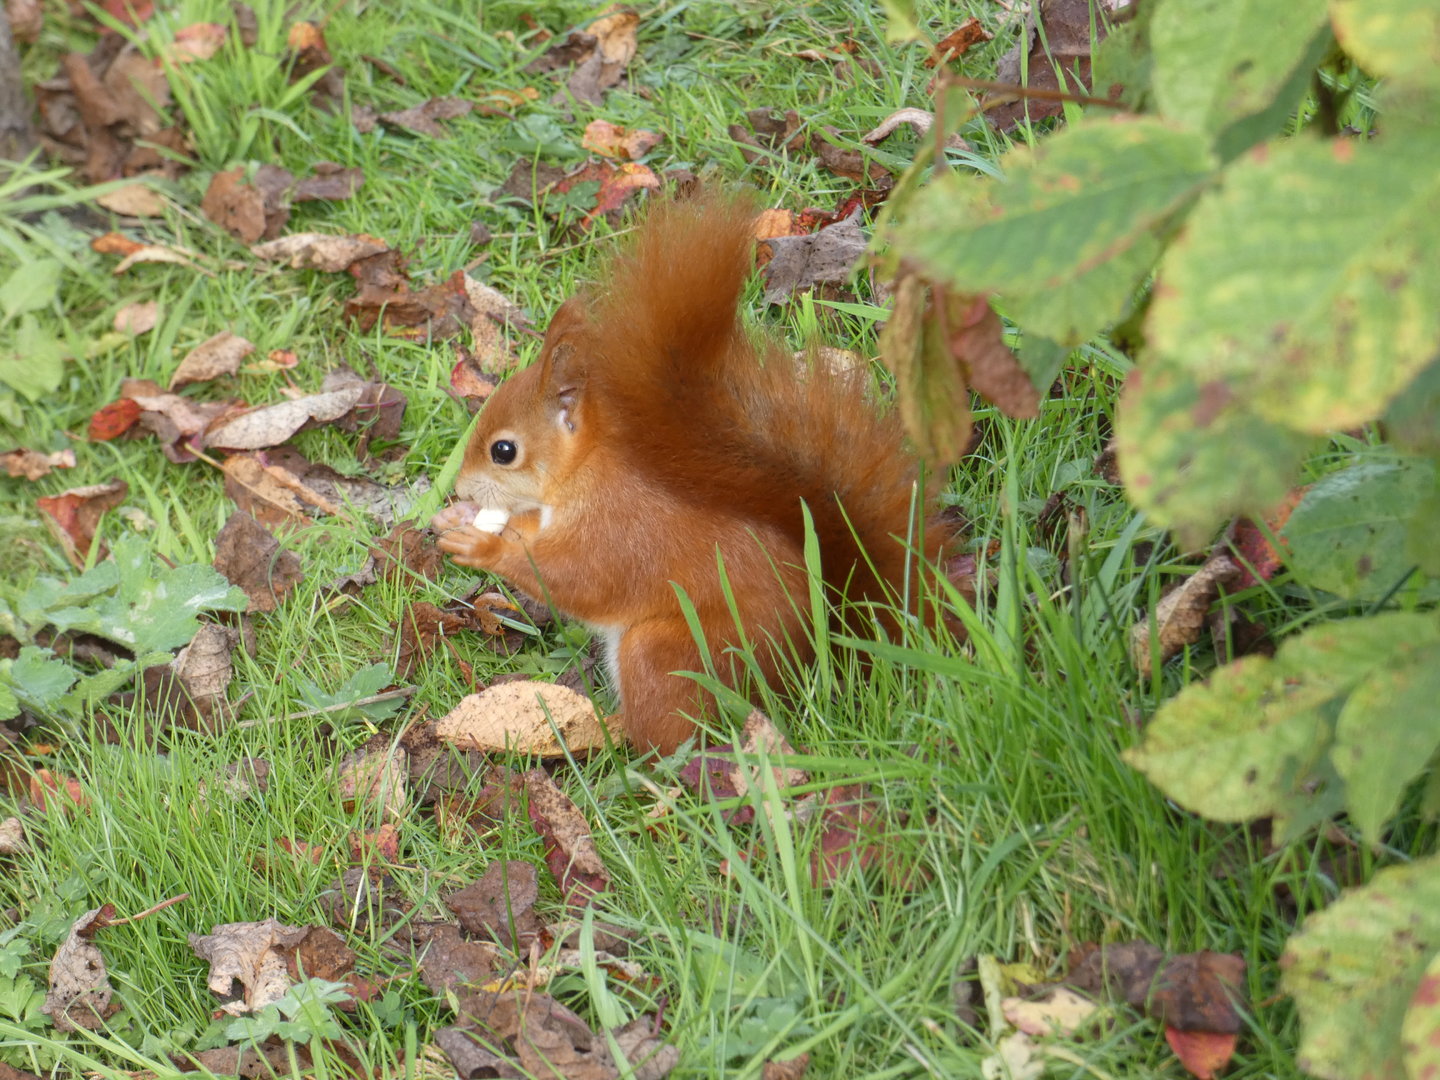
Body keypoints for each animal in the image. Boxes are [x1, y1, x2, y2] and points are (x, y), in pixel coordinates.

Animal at [431, 191, 957, 753]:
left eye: (503, 450)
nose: (460, 486)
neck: (585, 471)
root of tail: (807, 672)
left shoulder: (616, 529)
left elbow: (576, 579)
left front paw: (482, 547)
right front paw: (461, 518)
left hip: (664, 654)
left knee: (670, 741)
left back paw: (603, 733)